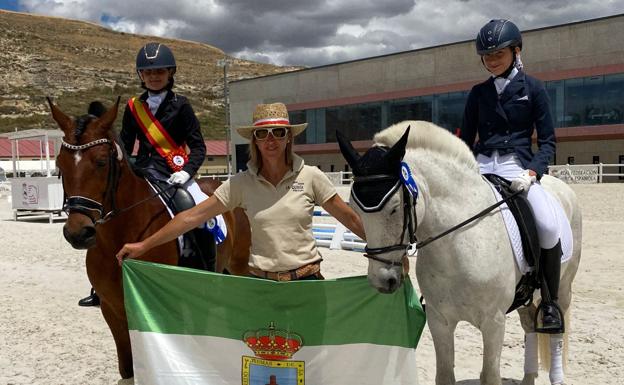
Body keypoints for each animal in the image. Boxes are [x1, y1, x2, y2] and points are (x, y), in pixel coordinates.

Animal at [48, 98, 251, 378]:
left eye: (101, 162)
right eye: (60, 164)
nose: (78, 233)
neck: (120, 238)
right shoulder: (112, 310)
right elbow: (127, 368)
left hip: (239, 266)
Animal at [338, 121, 584, 384]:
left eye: (394, 208)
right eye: (355, 210)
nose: (382, 280)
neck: (457, 246)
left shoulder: (494, 322)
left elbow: (490, 376)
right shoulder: (440, 321)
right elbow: (445, 375)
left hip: (563, 288)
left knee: (556, 328)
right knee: (529, 328)